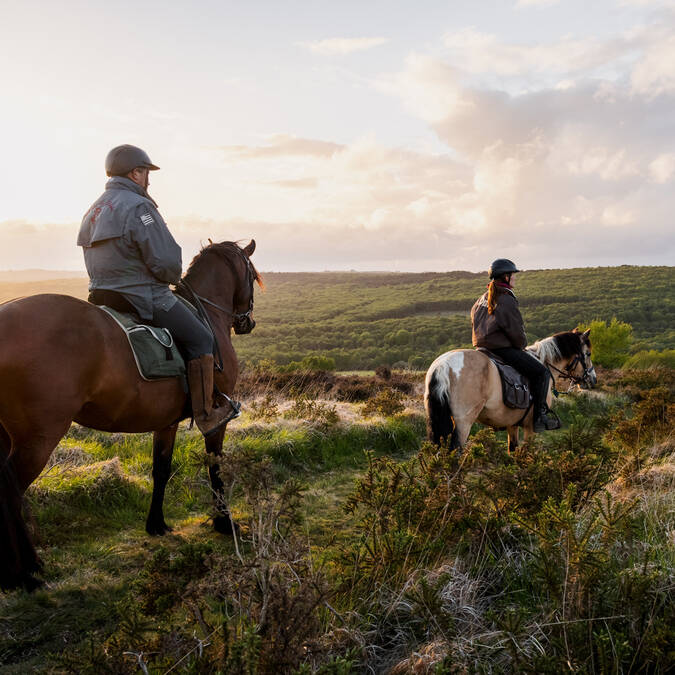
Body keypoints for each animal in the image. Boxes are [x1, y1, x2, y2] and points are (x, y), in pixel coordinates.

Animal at [0, 240, 262, 588]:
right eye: (253, 275)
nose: (247, 322)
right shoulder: (216, 423)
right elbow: (215, 467)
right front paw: (224, 522)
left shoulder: (165, 423)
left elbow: (161, 469)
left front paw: (157, 524)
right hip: (38, 438)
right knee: (11, 490)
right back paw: (25, 571)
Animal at [426, 330, 600, 452]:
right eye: (588, 353)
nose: (593, 379)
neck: (544, 363)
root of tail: (442, 366)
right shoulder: (530, 428)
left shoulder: (512, 424)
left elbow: (513, 452)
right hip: (464, 423)